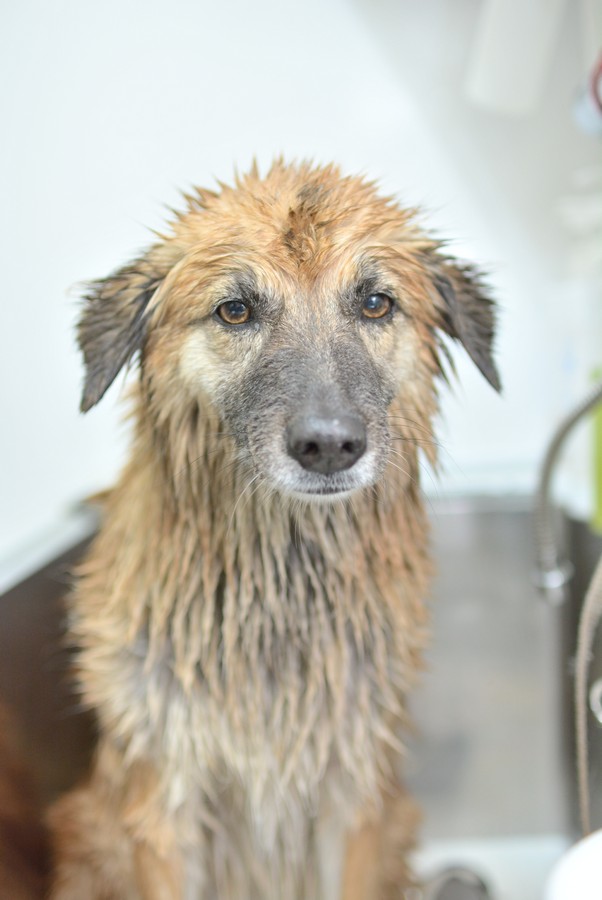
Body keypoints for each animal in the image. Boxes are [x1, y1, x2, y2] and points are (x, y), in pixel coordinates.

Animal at [46, 160, 499, 899]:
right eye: (236, 310)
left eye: (376, 303)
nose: (329, 446)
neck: (277, 593)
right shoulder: (165, 800)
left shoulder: (353, 795)